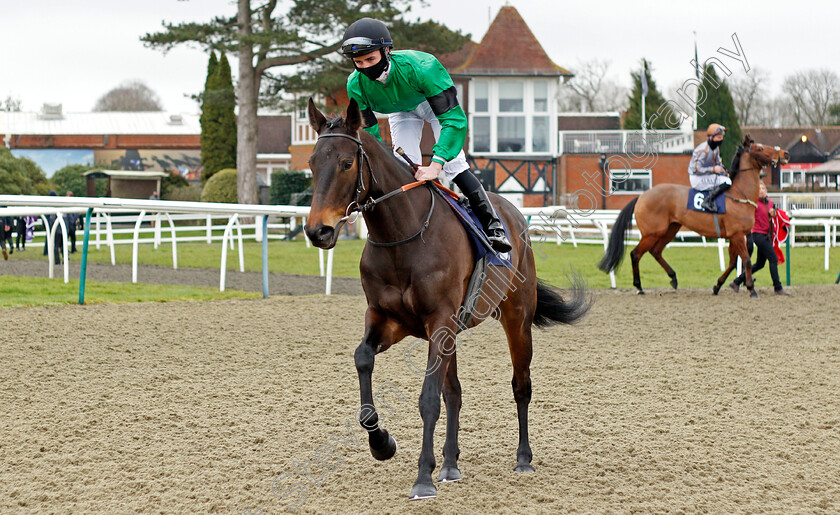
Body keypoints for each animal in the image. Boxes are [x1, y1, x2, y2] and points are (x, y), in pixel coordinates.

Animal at [304, 98, 592, 500]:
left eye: (347, 162)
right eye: (313, 162)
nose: (318, 230)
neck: (403, 236)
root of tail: (514, 215)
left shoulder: (438, 322)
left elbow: (428, 398)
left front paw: (423, 476)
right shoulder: (388, 319)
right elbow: (364, 359)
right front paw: (383, 444)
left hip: (516, 317)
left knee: (521, 386)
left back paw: (522, 458)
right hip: (453, 332)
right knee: (454, 392)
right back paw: (451, 464)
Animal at [596, 135, 788, 298]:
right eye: (760, 148)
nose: (785, 154)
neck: (740, 195)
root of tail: (642, 196)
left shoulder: (737, 236)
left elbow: (734, 262)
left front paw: (718, 285)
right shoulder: (737, 235)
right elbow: (746, 261)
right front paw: (751, 289)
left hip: (671, 229)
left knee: (656, 251)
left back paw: (673, 278)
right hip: (652, 232)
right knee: (636, 254)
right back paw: (639, 286)